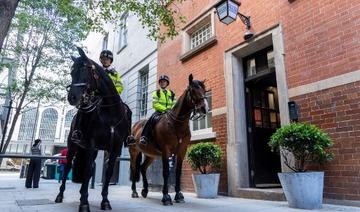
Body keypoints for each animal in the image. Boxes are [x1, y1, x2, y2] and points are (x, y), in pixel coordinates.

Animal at [54, 48, 130, 212]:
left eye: (84, 71)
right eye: (71, 72)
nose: (72, 97)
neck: (110, 113)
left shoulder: (114, 148)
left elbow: (108, 172)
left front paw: (105, 201)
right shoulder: (90, 144)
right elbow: (88, 171)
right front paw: (84, 203)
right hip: (73, 147)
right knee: (68, 167)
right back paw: (60, 195)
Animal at [129, 74, 208, 205]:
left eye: (205, 90)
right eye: (193, 90)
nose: (204, 108)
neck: (177, 124)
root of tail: (135, 125)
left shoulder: (181, 151)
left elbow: (178, 172)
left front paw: (179, 195)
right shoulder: (166, 151)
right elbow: (166, 172)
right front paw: (166, 196)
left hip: (151, 155)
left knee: (142, 168)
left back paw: (145, 190)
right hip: (134, 152)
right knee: (134, 168)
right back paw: (134, 192)